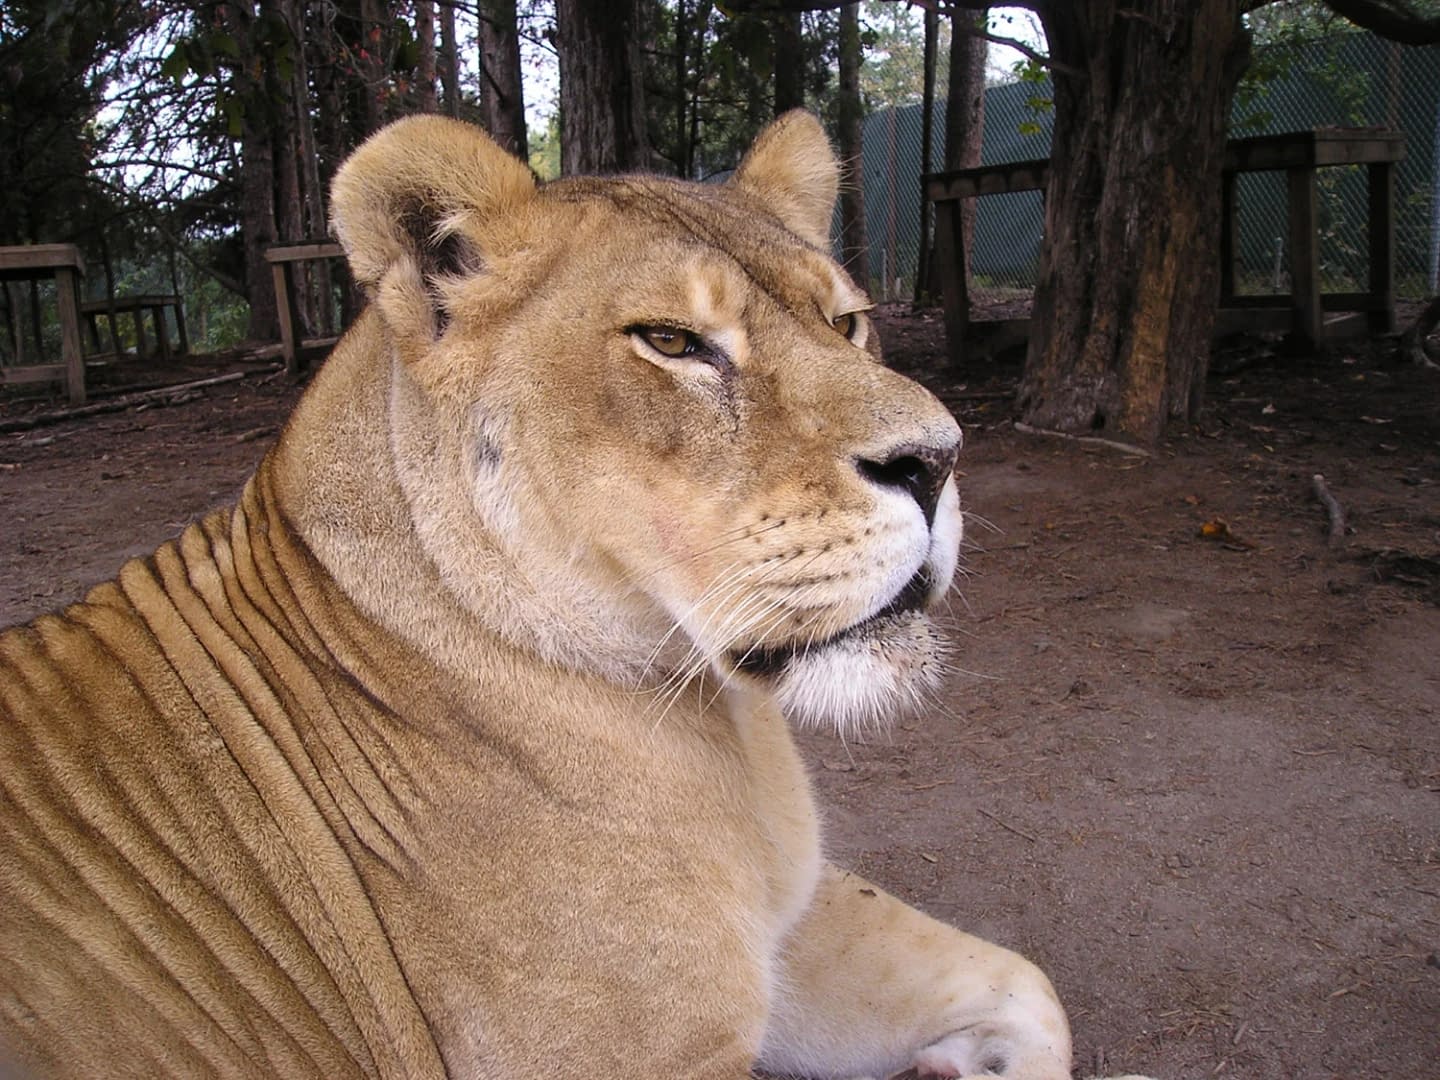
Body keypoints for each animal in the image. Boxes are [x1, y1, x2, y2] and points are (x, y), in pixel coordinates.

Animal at [0, 112, 1152, 1080]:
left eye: (848, 323)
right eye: (673, 341)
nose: (939, 460)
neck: (722, 730)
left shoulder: (780, 930)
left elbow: (1027, 981)